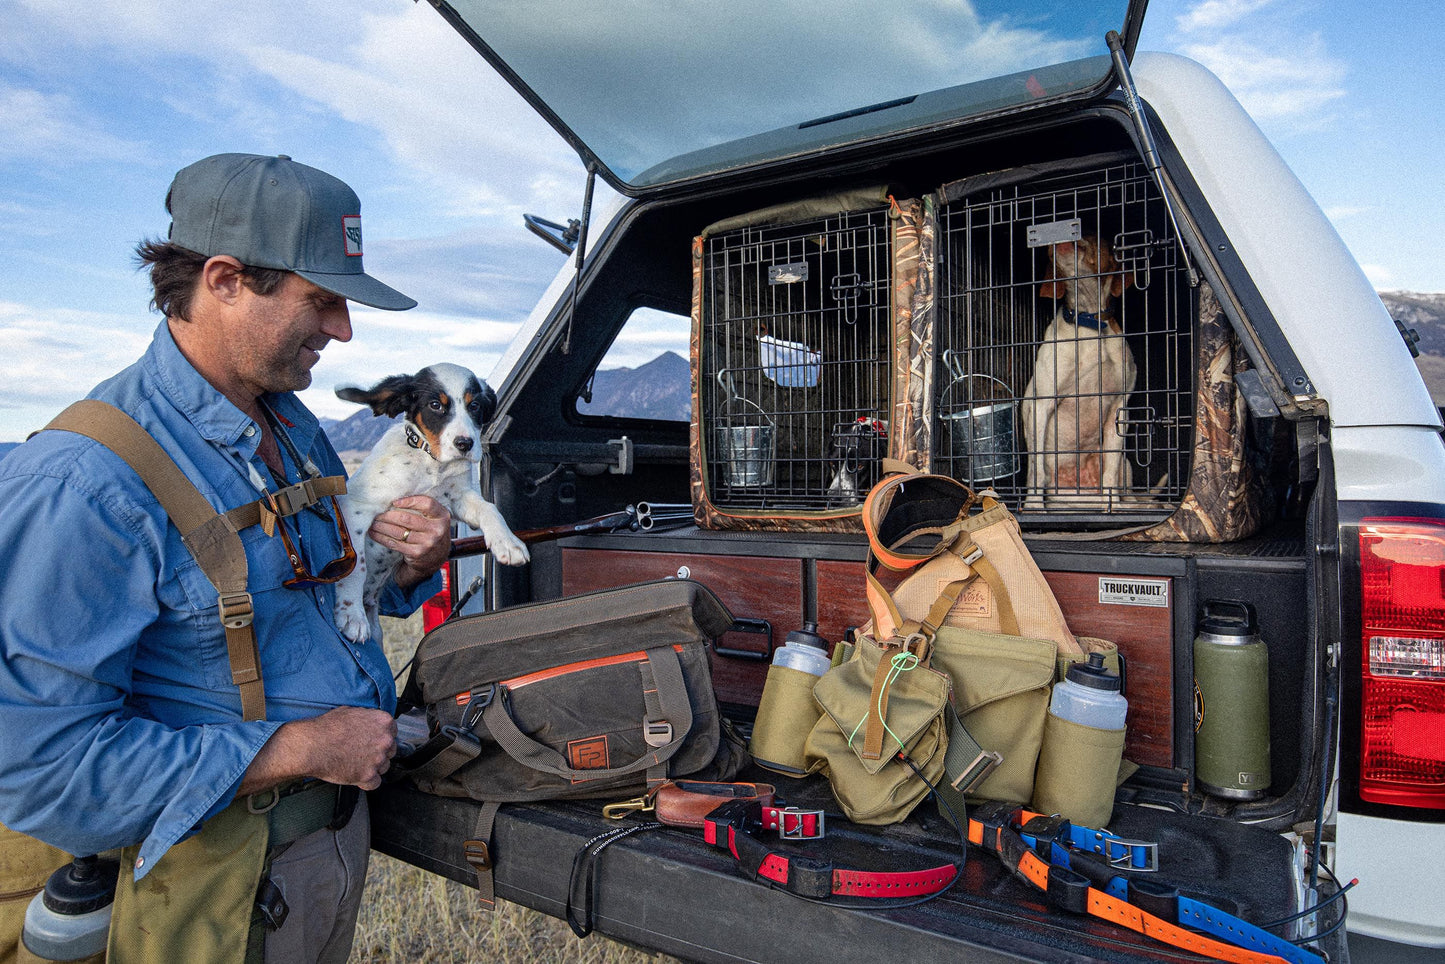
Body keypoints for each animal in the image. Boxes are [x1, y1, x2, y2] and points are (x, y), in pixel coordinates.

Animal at [332, 365, 531, 644]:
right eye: (435, 405)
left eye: (475, 406)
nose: (465, 444)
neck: (431, 462)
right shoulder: (355, 506)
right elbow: (356, 564)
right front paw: (351, 614)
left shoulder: (458, 497)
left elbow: (489, 508)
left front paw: (508, 542)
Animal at [1023, 237, 1132, 508]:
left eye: (1098, 234)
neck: (1088, 323)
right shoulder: (1042, 403)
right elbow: (1036, 470)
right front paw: (1033, 507)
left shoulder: (1119, 409)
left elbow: (1110, 472)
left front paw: (1112, 508)